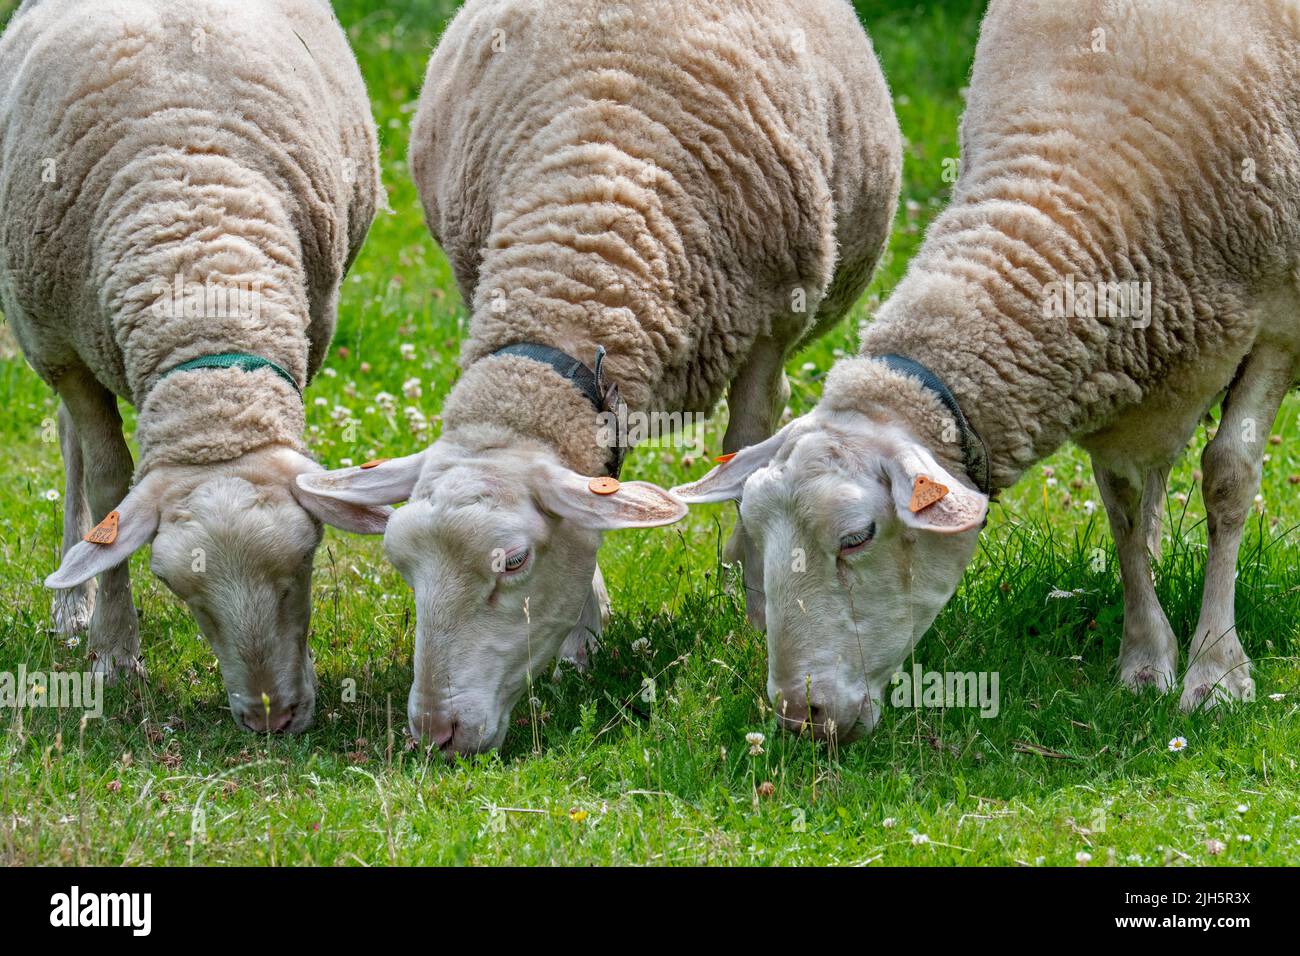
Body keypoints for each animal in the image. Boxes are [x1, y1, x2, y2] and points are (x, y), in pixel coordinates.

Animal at [0, 0, 389, 732]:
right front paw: (114, 653)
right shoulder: (63, 354)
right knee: (70, 449)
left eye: (305, 565)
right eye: (184, 595)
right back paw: (72, 605)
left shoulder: (311, 326)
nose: (271, 720)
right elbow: (107, 485)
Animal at [298, 0, 902, 756]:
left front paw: (758, 603)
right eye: (402, 565)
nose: (437, 734)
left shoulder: (768, 329)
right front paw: (581, 640)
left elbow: (747, 452)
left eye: (514, 562)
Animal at [674, 0, 1300, 740]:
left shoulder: (1278, 324)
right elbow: (1121, 505)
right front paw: (1146, 657)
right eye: (754, 532)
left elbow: (1227, 480)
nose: (803, 717)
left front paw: (1216, 670)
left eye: (857, 537)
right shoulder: (1119, 377)